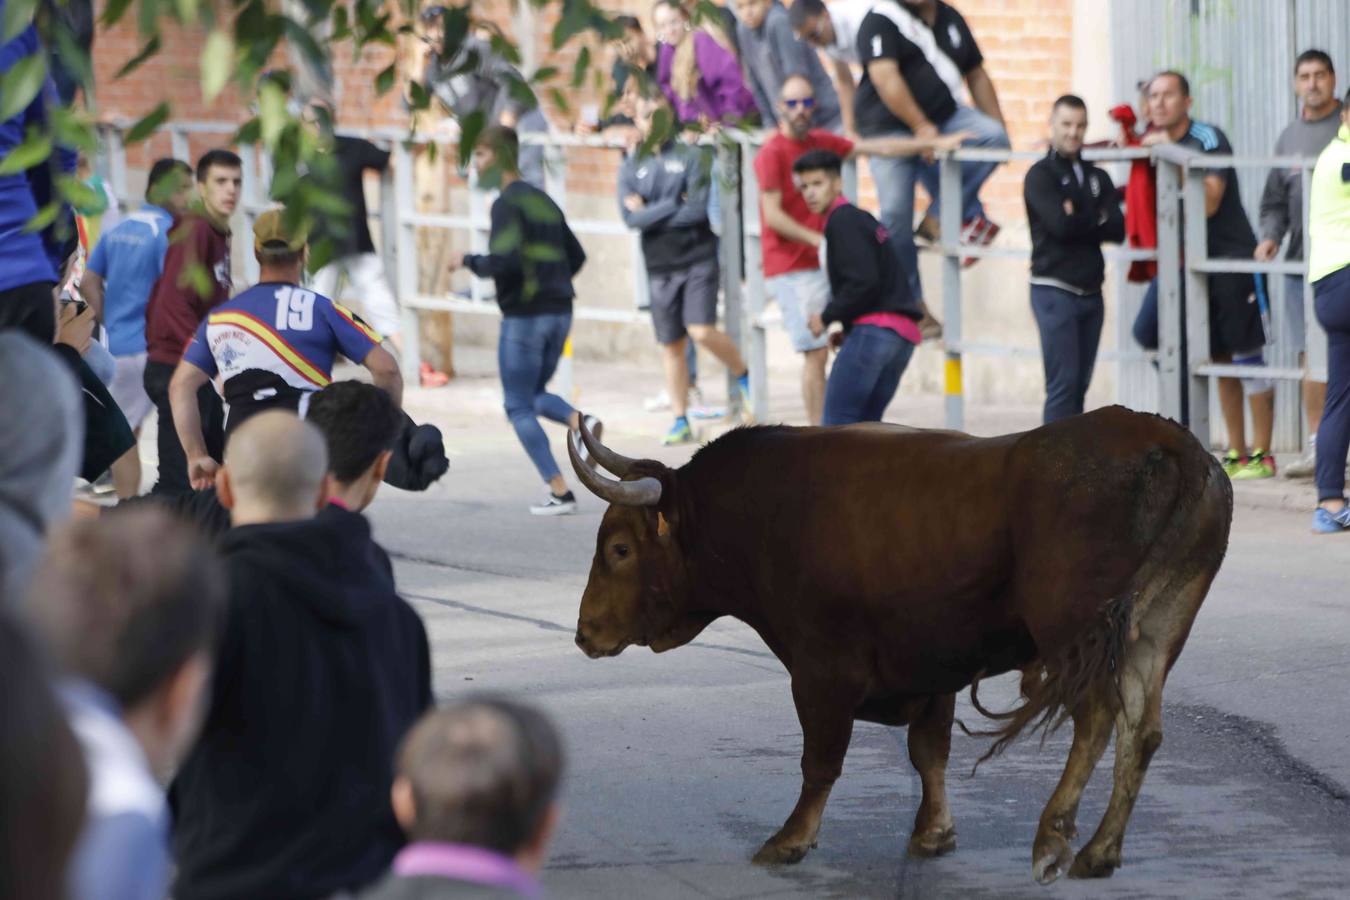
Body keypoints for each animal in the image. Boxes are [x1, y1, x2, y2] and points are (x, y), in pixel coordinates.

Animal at [569, 407, 1236, 879]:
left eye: (620, 549)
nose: (583, 633)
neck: (765, 512)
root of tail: (1170, 442)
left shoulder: (821, 670)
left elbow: (821, 760)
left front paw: (790, 838)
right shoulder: (932, 666)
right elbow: (929, 752)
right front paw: (933, 832)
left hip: (1075, 630)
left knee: (1096, 717)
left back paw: (1053, 839)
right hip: (1156, 631)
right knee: (1140, 729)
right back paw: (1100, 851)